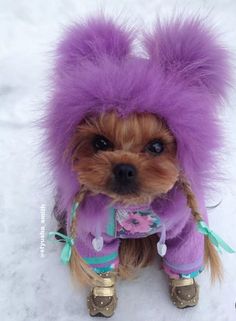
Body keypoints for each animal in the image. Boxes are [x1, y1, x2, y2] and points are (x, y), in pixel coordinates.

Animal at [44, 14, 234, 316]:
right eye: (100, 143)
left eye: (156, 147)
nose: (124, 168)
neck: (133, 207)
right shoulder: (91, 229)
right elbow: (101, 265)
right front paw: (102, 295)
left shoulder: (186, 224)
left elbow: (184, 255)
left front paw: (185, 287)